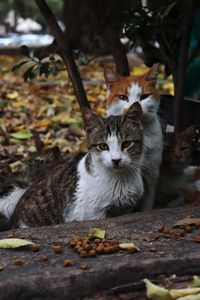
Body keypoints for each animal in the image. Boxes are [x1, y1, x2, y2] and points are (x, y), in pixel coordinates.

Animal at [0, 102, 145, 229]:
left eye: (126, 144)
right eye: (103, 146)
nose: (116, 160)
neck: (119, 180)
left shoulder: (126, 209)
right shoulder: (90, 214)